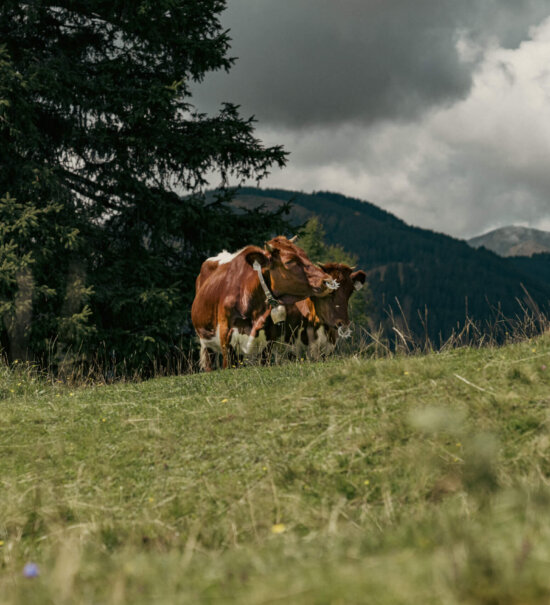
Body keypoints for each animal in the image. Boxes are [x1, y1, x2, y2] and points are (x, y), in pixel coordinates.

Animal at [192, 235, 338, 368]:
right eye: (289, 261)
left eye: (305, 255)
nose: (328, 281)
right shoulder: (226, 337)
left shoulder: (269, 340)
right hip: (206, 344)